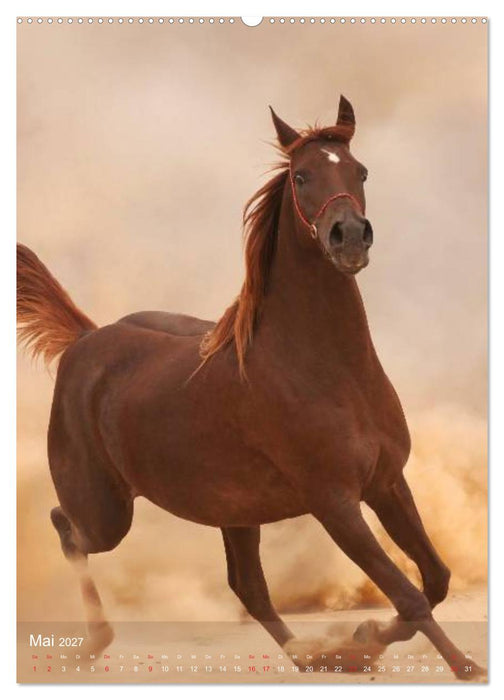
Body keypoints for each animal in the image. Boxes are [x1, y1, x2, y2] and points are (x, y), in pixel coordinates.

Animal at [17, 95, 485, 679]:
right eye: (302, 175)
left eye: (360, 170)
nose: (350, 237)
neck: (329, 370)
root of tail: (86, 338)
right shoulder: (335, 504)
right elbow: (410, 594)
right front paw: (460, 664)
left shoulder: (387, 484)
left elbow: (436, 579)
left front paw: (360, 639)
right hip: (106, 513)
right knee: (66, 527)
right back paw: (93, 643)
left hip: (234, 514)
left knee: (249, 589)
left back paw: (314, 655)